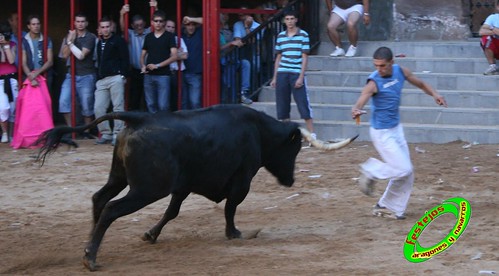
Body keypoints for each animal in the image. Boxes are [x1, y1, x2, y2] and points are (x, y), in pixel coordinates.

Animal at [34, 104, 356, 270]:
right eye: (294, 148)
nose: (291, 180)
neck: (256, 129)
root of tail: (138, 118)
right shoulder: (242, 179)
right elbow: (231, 207)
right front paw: (235, 234)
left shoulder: (184, 185)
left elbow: (172, 212)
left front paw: (150, 234)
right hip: (146, 189)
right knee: (111, 208)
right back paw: (91, 257)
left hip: (119, 177)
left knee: (99, 199)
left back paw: (88, 245)